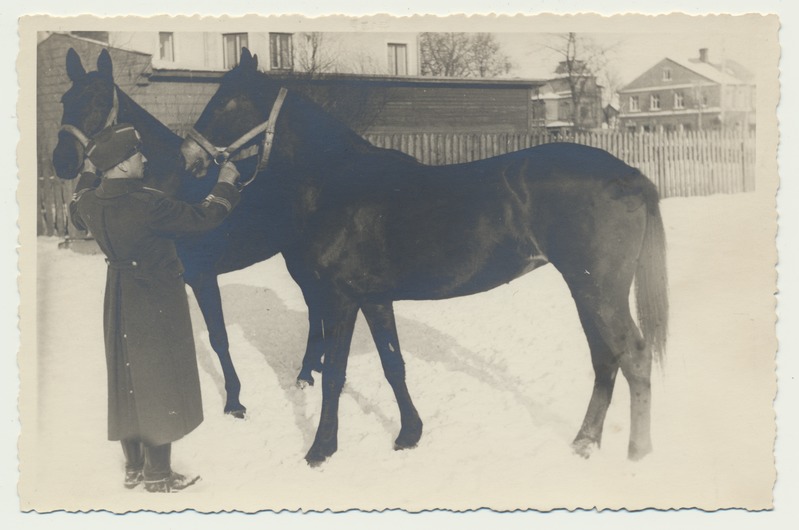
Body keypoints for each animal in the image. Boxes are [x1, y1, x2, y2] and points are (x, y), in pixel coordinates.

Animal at [53, 47, 255, 414]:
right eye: (65, 99)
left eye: (100, 100)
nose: (61, 161)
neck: (170, 179)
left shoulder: (202, 275)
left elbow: (219, 338)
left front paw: (234, 400)